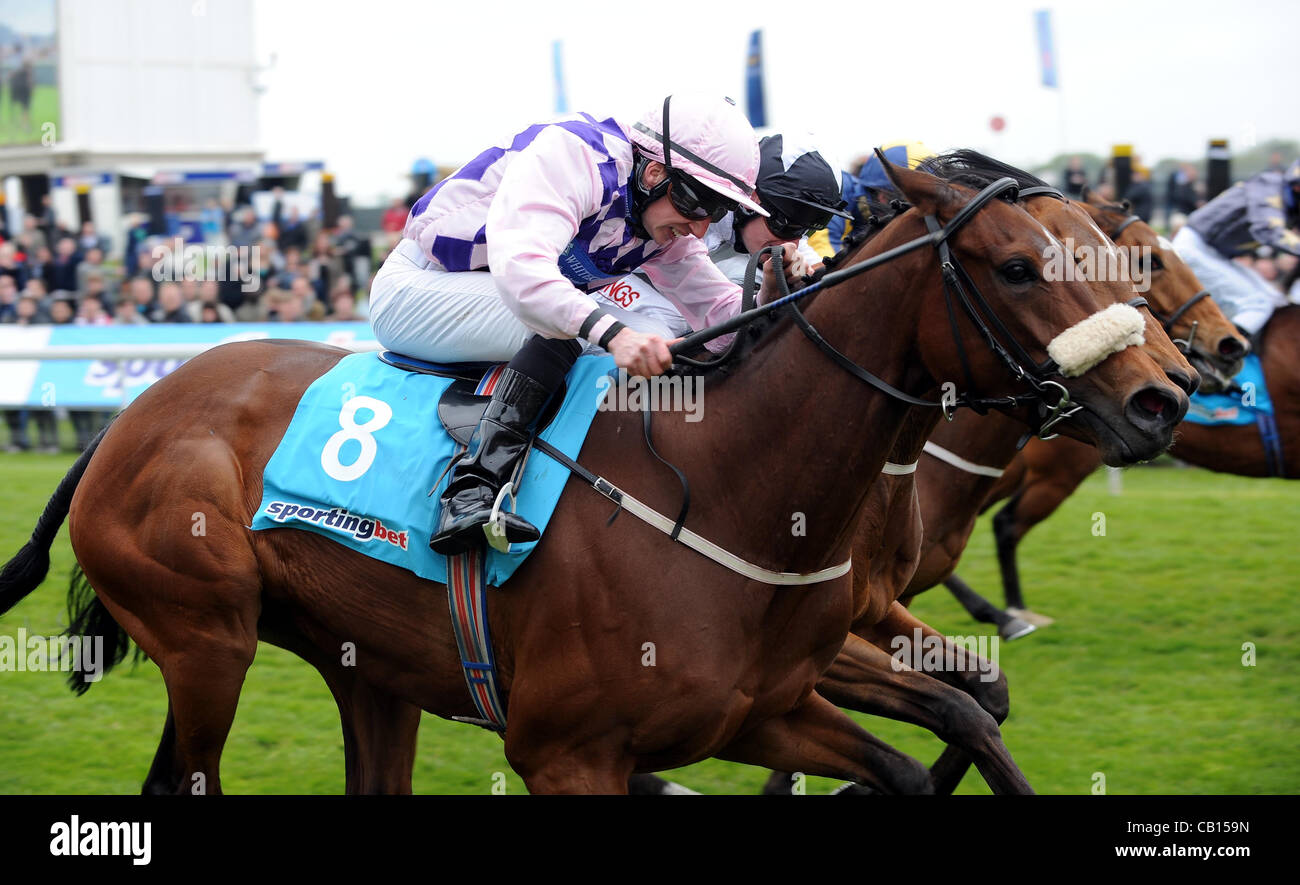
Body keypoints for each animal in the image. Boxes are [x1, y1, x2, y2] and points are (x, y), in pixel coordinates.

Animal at [0, 157, 1190, 795]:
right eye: (1020, 265)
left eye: (1109, 256)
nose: (1165, 393)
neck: (731, 486)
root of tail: (129, 420)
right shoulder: (568, 752)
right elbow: (958, 713)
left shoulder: (765, 699)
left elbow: (960, 719)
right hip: (208, 643)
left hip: (363, 666)